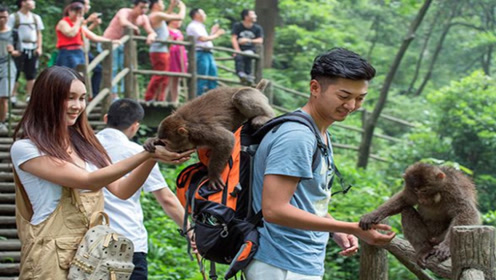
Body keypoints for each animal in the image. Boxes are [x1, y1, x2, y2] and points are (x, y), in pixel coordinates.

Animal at [144, 79, 276, 190]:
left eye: (167, 143)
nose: (166, 147)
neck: (186, 126)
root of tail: (254, 89)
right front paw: (153, 140)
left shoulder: (201, 131)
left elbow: (226, 139)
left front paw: (213, 175)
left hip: (252, 95)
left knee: (240, 97)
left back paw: (265, 116)